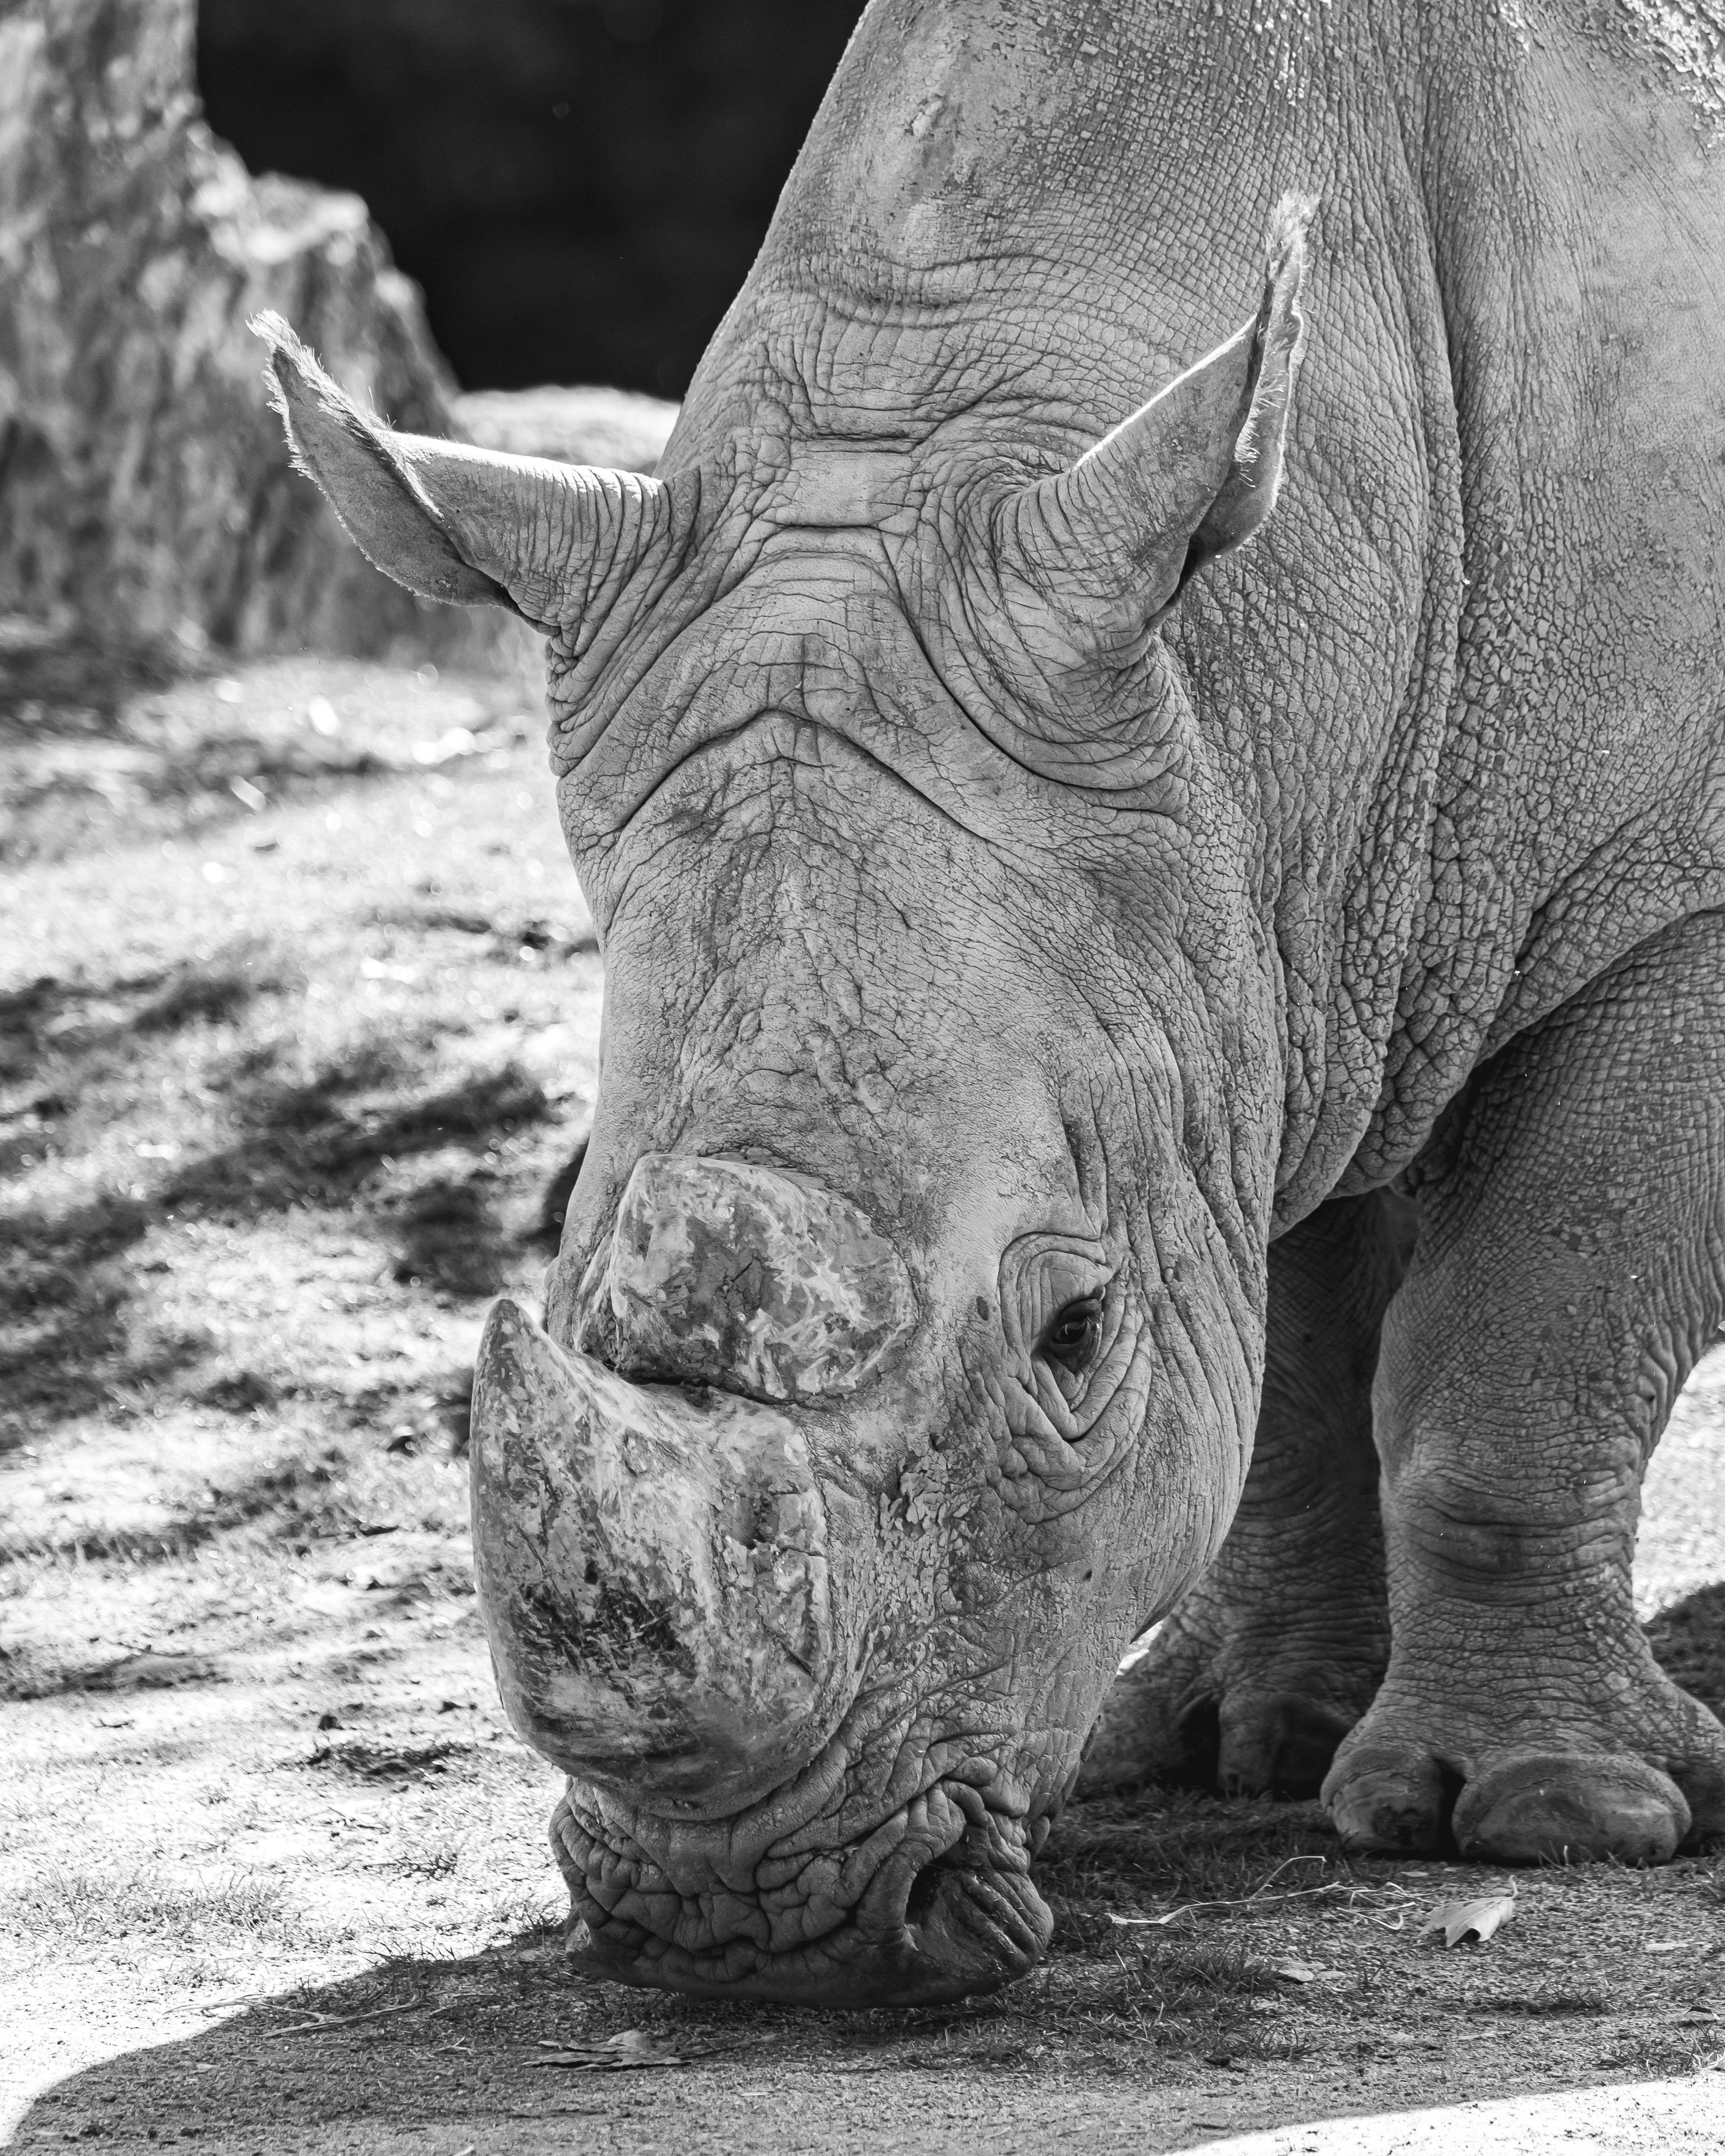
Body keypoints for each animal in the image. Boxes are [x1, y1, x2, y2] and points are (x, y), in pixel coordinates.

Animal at [255, 0, 1725, 2007]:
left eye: (1071, 1338)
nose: (748, 1927)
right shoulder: (1260, 949)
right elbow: (1279, 1352)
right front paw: (1231, 1742)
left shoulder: (1657, 893)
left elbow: (1521, 1336)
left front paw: (1536, 1821)